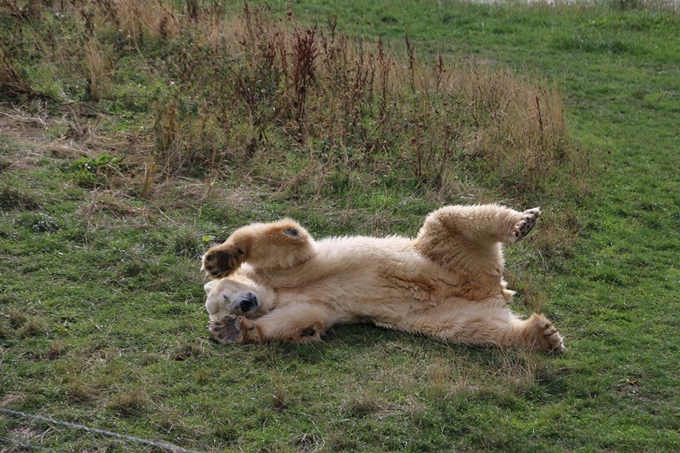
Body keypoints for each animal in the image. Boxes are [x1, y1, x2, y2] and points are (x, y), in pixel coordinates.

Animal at [203, 203, 568, 352]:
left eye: (225, 296)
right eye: (224, 307)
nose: (244, 305)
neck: (274, 291)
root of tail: (492, 286)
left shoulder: (290, 270)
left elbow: (289, 241)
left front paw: (220, 258)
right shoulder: (308, 303)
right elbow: (303, 318)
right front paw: (232, 331)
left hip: (446, 253)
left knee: (450, 219)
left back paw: (522, 223)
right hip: (446, 310)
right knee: (472, 329)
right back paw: (543, 336)